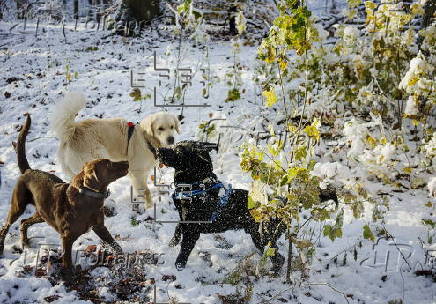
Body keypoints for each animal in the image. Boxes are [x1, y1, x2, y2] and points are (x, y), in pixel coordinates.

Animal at [0, 113, 129, 274]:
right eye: (109, 164)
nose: (128, 162)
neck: (87, 198)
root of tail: (29, 170)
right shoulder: (67, 238)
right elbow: (67, 261)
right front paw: (70, 276)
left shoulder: (100, 228)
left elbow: (116, 245)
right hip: (18, 206)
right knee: (6, 226)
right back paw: (2, 248)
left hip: (43, 213)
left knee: (24, 222)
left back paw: (24, 242)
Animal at [50, 92, 180, 207]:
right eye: (160, 128)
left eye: (172, 127)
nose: (171, 139)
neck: (146, 139)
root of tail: (72, 132)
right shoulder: (137, 171)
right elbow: (145, 191)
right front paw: (149, 208)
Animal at [157, 141, 286, 272]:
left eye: (178, 151)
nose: (158, 150)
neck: (196, 187)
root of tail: (281, 207)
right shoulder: (185, 219)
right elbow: (178, 228)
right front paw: (171, 244)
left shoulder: (192, 229)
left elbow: (185, 248)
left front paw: (179, 265)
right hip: (257, 235)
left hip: (264, 236)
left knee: (279, 258)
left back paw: (272, 272)